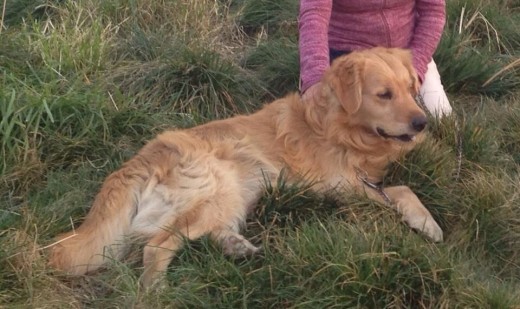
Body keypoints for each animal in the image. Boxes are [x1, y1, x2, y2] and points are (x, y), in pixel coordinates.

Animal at [48, 47, 442, 286]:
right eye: (383, 94)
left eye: (410, 88)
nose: (422, 122)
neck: (339, 128)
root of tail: (141, 159)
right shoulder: (340, 187)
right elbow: (401, 189)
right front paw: (427, 222)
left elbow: (400, 184)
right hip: (217, 189)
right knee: (156, 247)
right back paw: (156, 291)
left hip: (234, 194)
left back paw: (237, 247)